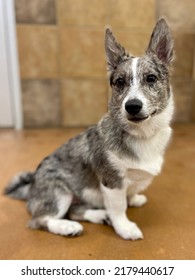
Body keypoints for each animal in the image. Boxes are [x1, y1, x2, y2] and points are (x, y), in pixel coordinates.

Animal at [4, 18, 174, 240]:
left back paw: (99, 215)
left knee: (75, 211)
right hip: (60, 194)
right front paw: (124, 228)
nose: (132, 106)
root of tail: (31, 186)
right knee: (39, 220)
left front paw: (134, 198)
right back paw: (67, 227)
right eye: (120, 82)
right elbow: (119, 208)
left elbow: (129, 195)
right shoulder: (112, 182)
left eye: (151, 78)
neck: (143, 134)